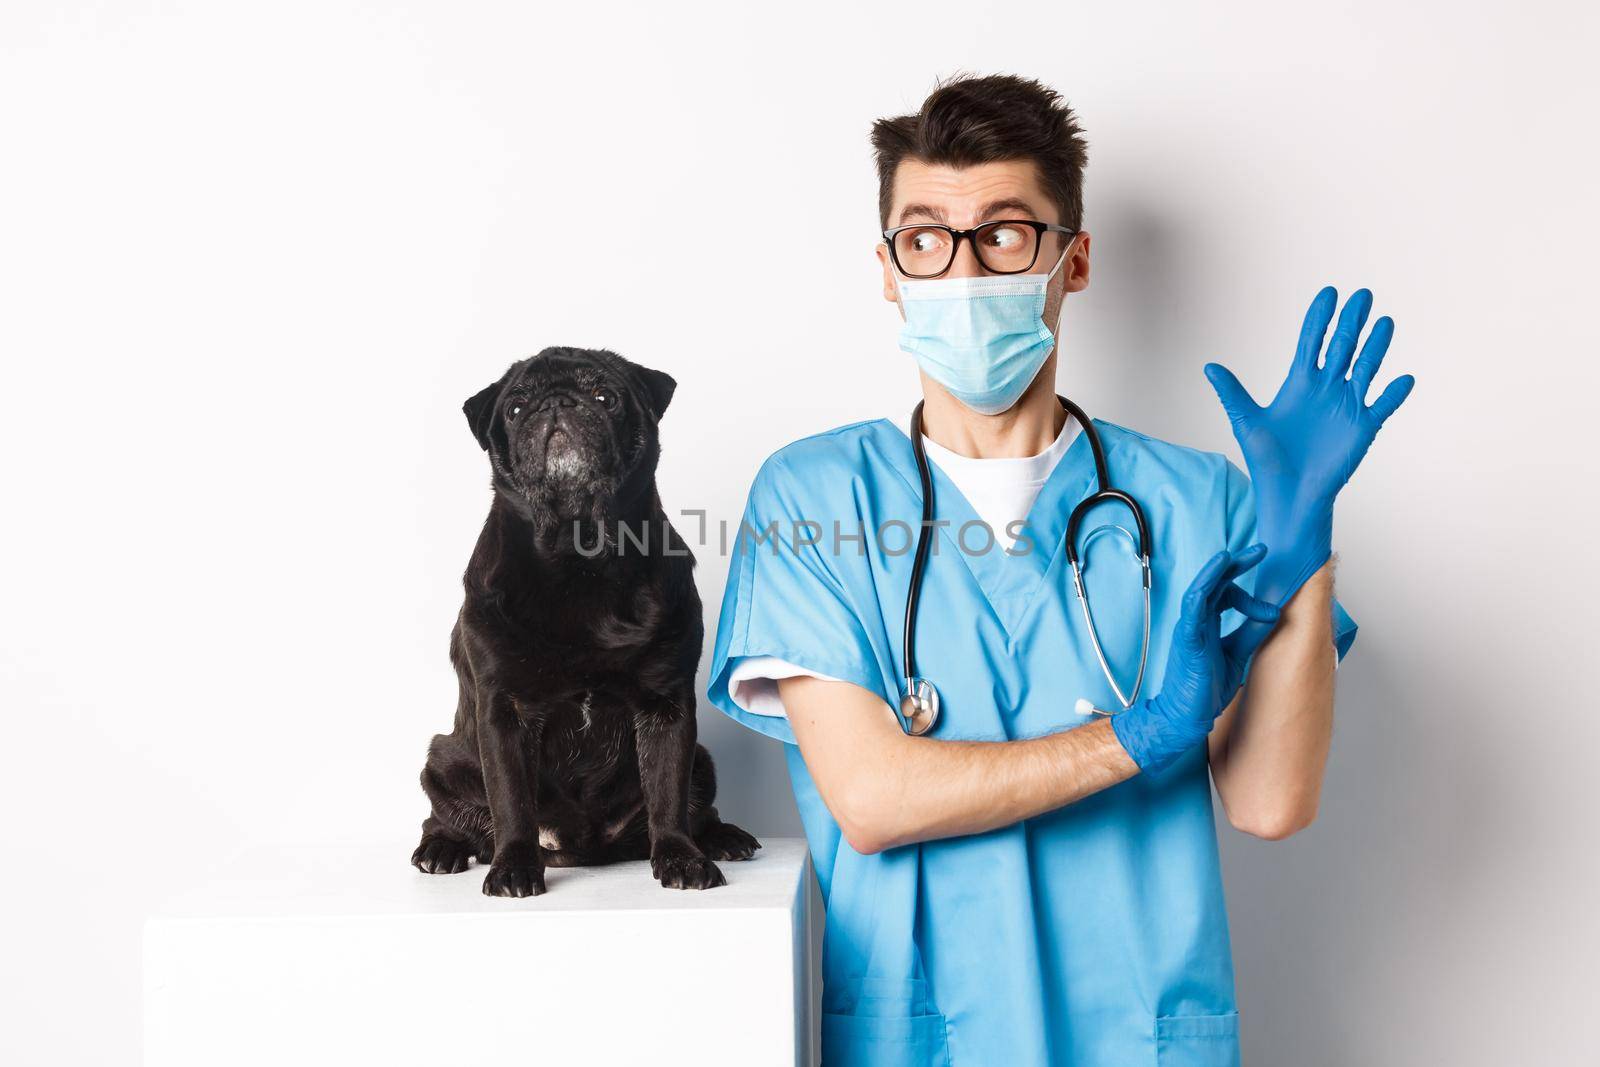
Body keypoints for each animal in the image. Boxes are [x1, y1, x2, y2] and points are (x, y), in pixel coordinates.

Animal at [412, 347, 761, 895]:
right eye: (515, 408)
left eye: (604, 397)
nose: (557, 404)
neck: (579, 553)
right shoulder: (505, 712)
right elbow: (511, 800)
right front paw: (514, 866)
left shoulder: (666, 707)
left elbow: (668, 792)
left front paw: (681, 858)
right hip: (442, 761)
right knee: (443, 815)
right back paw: (441, 849)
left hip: (703, 761)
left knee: (694, 804)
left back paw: (721, 837)